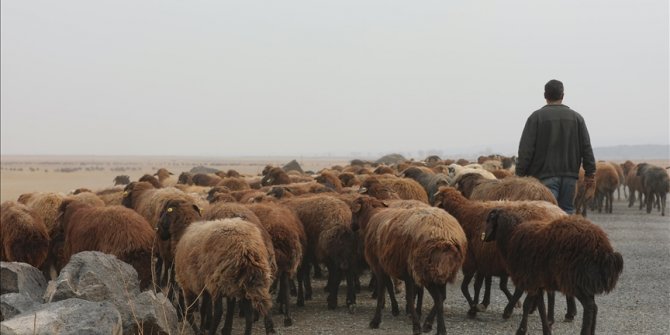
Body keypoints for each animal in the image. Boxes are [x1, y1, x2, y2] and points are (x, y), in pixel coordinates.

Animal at [352, 196, 468, 334]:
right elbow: (404, 294)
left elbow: (384, 293)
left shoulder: (379, 266)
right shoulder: (404, 273)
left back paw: (436, 328)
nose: (351, 226)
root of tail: (447, 235)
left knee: (438, 299)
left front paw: (376, 320)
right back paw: (430, 324)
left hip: (426, 270)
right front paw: (403, 313)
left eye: (353, 211)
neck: (372, 216)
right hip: (444, 272)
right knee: (442, 297)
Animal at [434, 188, 568, 322]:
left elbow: (467, 287)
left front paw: (474, 308)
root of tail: (560, 213)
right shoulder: (484, 261)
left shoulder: (472, 261)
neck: (463, 214)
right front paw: (481, 304)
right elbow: (483, 284)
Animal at [486, 210, 628, 335]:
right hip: (585, 281)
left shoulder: (530, 278)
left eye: (489, 220)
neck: (511, 237)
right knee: (595, 306)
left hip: (575, 280)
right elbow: (541, 307)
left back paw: (584, 332)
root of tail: (603, 248)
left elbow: (527, 305)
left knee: (589, 306)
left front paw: (521, 330)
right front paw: (546, 329)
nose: (484, 238)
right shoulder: (538, 281)